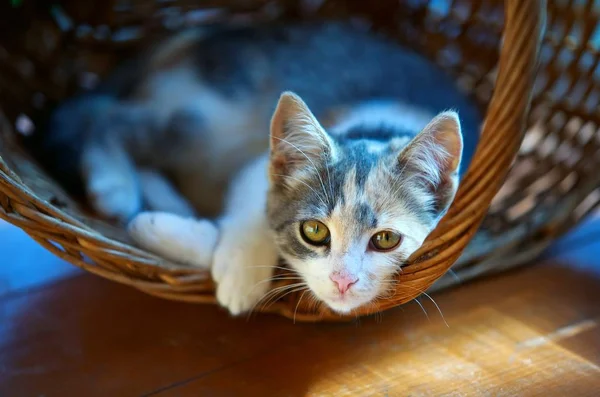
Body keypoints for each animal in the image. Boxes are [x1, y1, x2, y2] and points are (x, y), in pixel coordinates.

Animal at [37, 21, 480, 314]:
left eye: (386, 239)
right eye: (315, 231)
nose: (343, 280)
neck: (377, 126)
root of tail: (207, 33)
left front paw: (170, 231)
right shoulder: (260, 165)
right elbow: (256, 211)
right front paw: (238, 271)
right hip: (208, 115)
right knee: (106, 118)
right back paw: (114, 184)